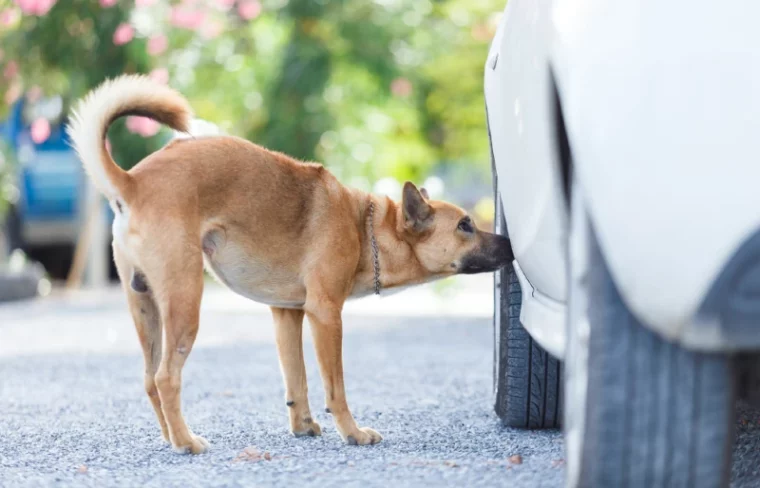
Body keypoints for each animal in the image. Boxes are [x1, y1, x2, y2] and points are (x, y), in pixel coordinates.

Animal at [67, 75, 516, 454]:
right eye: (465, 225)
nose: (510, 244)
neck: (365, 227)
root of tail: (134, 182)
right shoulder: (326, 315)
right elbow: (335, 388)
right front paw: (352, 433)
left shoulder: (287, 315)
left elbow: (296, 379)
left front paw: (302, 425)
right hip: (184, 304)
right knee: (165, 377)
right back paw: (186, 442)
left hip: (146, 310)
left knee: (149, 380)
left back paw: (170, 437)